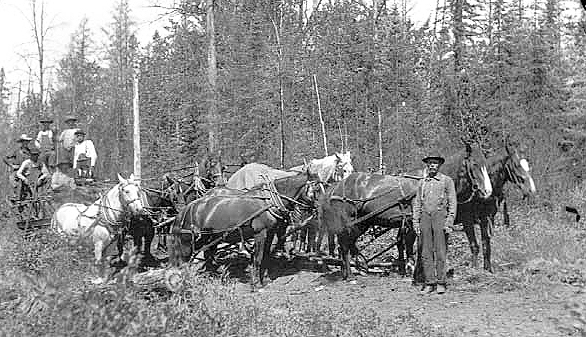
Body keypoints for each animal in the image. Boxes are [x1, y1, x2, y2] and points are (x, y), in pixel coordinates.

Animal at [169, 172, 320, 288]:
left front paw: (264, 279)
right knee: (184, 258)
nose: (321, 209)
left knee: (206, 255)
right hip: (189, 239)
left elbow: (266, 256)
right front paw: (256, 283)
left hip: (209, 237)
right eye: (317, 188)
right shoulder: (260, 233)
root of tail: (188, 207)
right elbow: (258, 258)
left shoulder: (270, 233)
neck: (269, 202)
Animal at [456, 139, 532, 270]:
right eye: (516, 165)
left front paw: (488, 269)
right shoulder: (467, 221)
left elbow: (486, 245)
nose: (531, 188)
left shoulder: (487, 219)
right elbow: (475, 246)